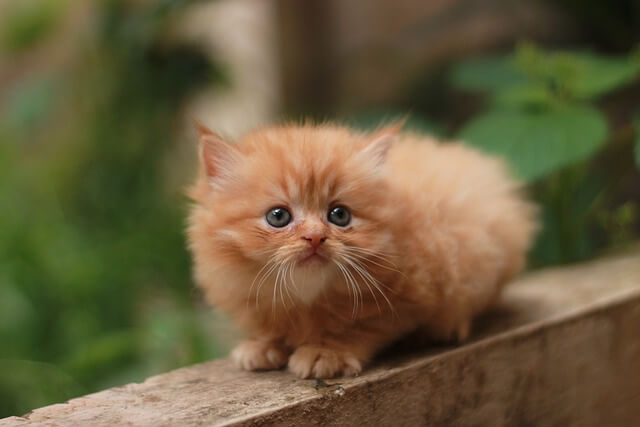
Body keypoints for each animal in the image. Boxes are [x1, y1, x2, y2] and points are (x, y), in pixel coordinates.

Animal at [185, 122, 536, 380]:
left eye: (339, 215)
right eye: (278, 216)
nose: (315, 238)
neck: (307, 298)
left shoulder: (411, 295)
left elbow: (362, 325)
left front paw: (327, 352)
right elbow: (269, 325)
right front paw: (263, 344)